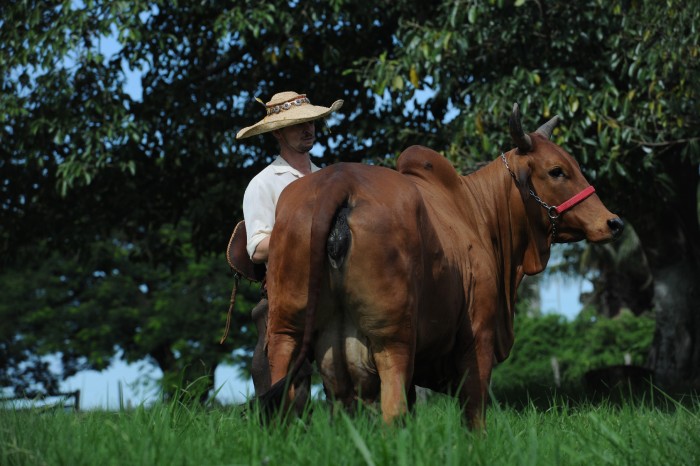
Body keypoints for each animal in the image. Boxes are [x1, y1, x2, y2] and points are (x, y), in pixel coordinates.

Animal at [258, 104, 624, 428]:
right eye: (557, 171)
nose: (613, 222)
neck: (479, 212)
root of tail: (339, 181)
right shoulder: (479, 336)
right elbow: (474, 413)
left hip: (287, 330)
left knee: (282, 403)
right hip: (392, 337)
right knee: (392, 410)